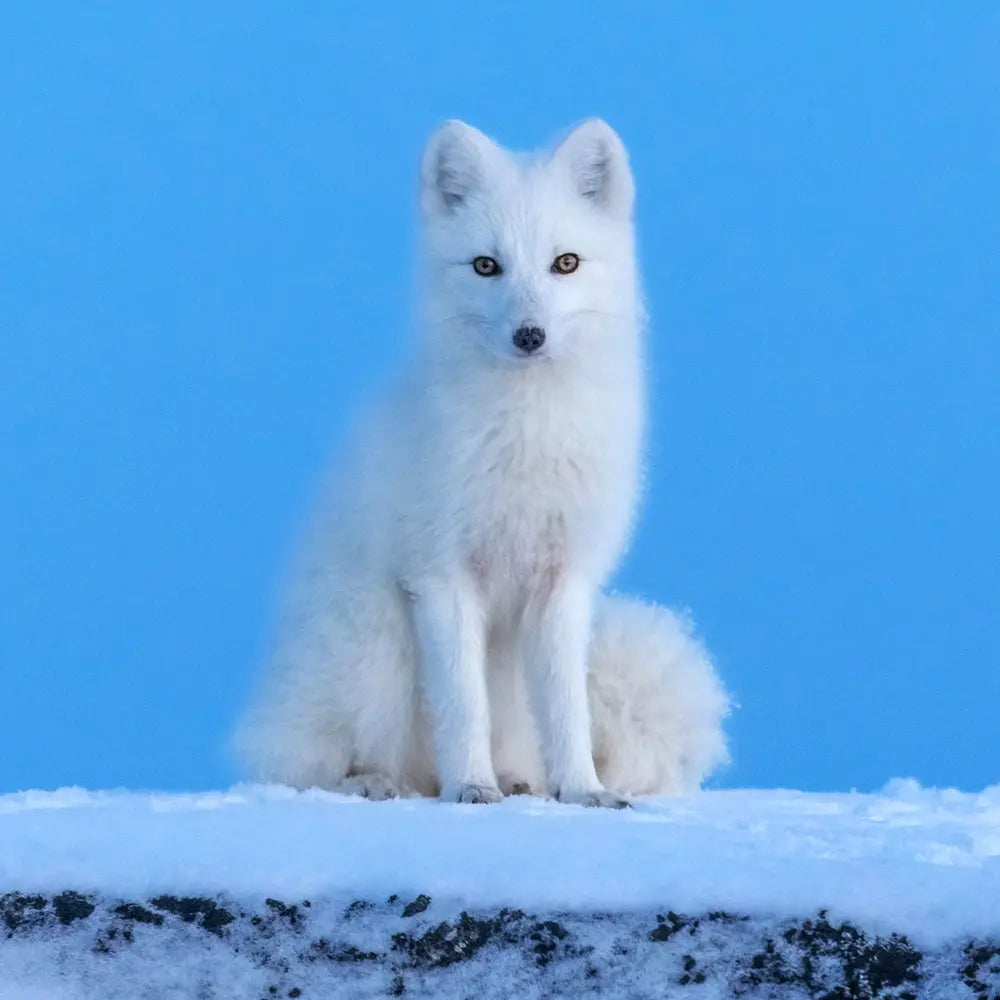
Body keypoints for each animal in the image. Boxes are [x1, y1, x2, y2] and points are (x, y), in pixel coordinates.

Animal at [234, 119, 730, 807]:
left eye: (565, 263)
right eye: (486, 266)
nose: (529, 336)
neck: (528, 434)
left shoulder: (563, 581)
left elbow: (567, 709)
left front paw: (583, 790)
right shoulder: (441, 576)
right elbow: (462, 704)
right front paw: (471, 785)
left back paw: (518, 779)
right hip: (375, 654)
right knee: (300, 763)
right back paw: (376, 781)